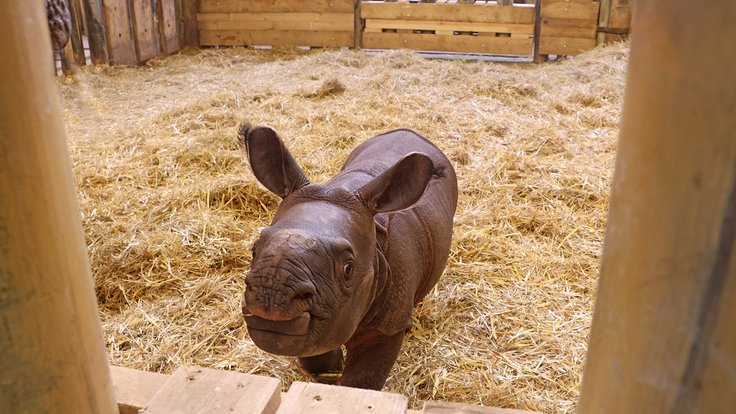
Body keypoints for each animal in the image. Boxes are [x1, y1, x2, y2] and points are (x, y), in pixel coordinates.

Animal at [239, 123, 458, 390]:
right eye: (254, 250)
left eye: (348, 269)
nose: (272, 292)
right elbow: (314, 350)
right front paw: (331, 369)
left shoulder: (386, 328)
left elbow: (361, 381)